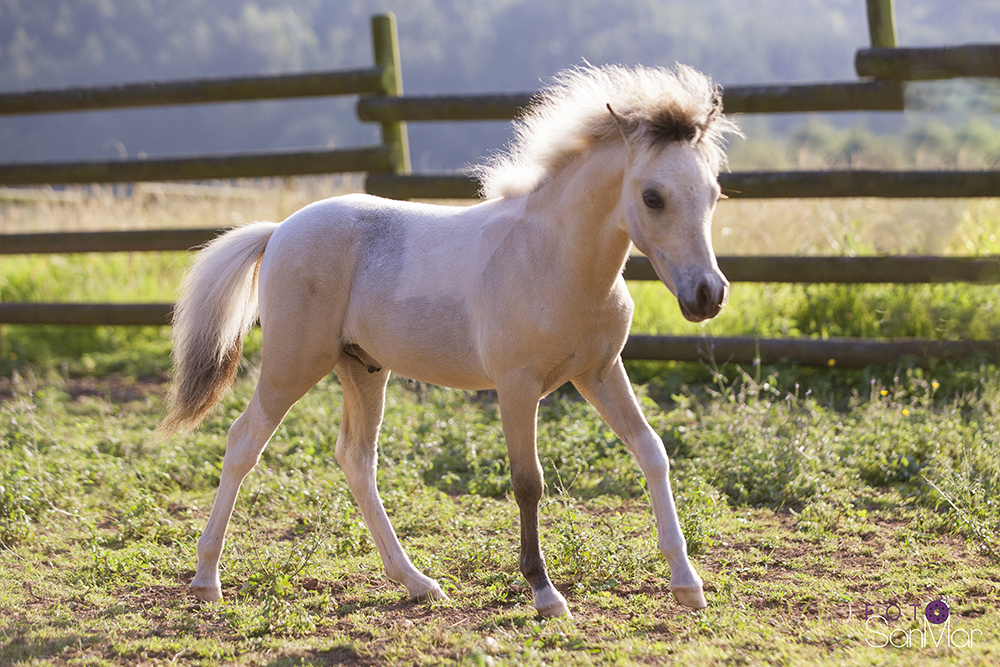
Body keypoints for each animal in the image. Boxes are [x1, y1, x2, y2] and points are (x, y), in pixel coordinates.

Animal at [161, 63, 740, 618]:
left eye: (714, 193)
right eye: (652, 197)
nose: (707, 295)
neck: (553, 257)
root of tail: (278, 231)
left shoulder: (599, 371)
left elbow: (651, 451)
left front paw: (688, 584)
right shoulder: (517, 385)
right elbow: (528, 481)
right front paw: (545, 593)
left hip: (363, 369)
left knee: (357, 460)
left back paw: (416, 582)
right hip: (293, 365)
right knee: (243, 441)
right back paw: (206, 579)